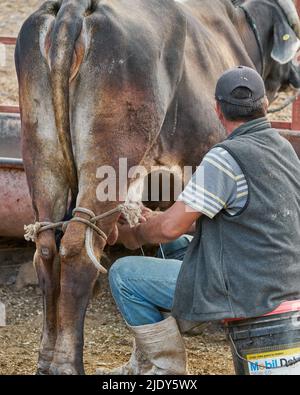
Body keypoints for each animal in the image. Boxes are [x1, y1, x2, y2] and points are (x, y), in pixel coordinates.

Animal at [15, 0, 300, 376]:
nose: (295, 76)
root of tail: (75, 8)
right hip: (109, 163)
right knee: (79, 251)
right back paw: (66, 364)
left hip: (42, 156)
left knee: (47, 249)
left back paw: (47, 360)